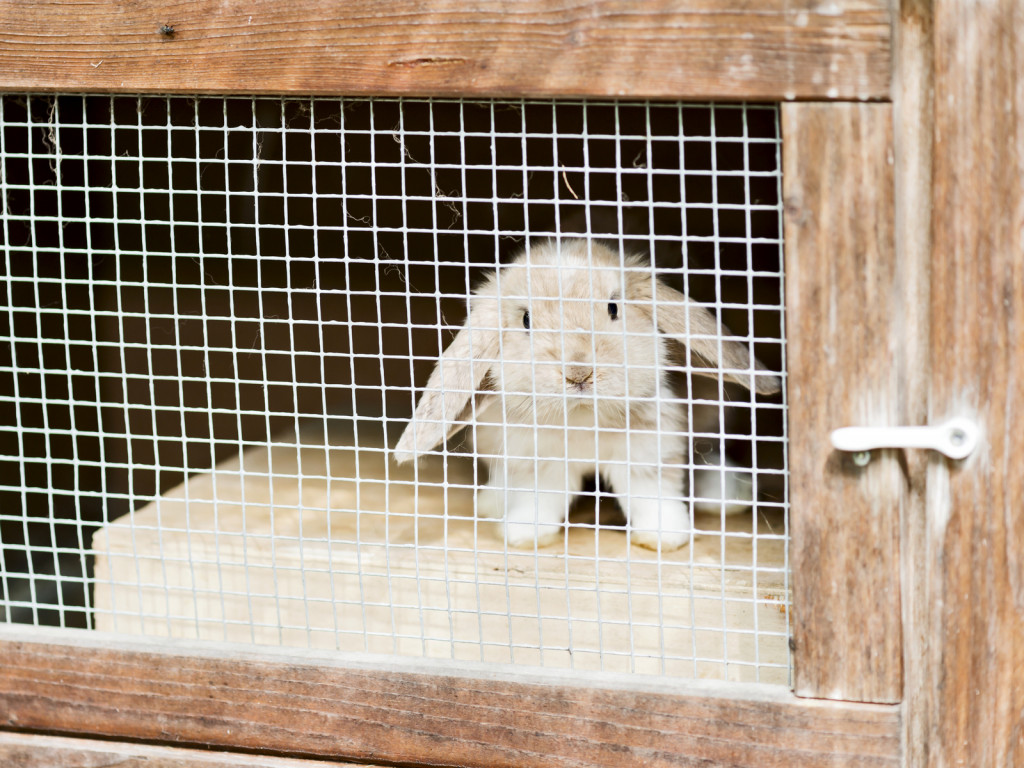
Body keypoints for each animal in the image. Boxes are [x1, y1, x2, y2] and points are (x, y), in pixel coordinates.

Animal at [394, 239, 781, 551]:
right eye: (526, 319)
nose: (578, 373)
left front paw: (664, 538)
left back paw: (727, 494)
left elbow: (653, 495)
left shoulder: (647, 451)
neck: (582, 416)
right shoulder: (538, 460)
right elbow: (539, 498)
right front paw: (524, 534)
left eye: (613, 308)